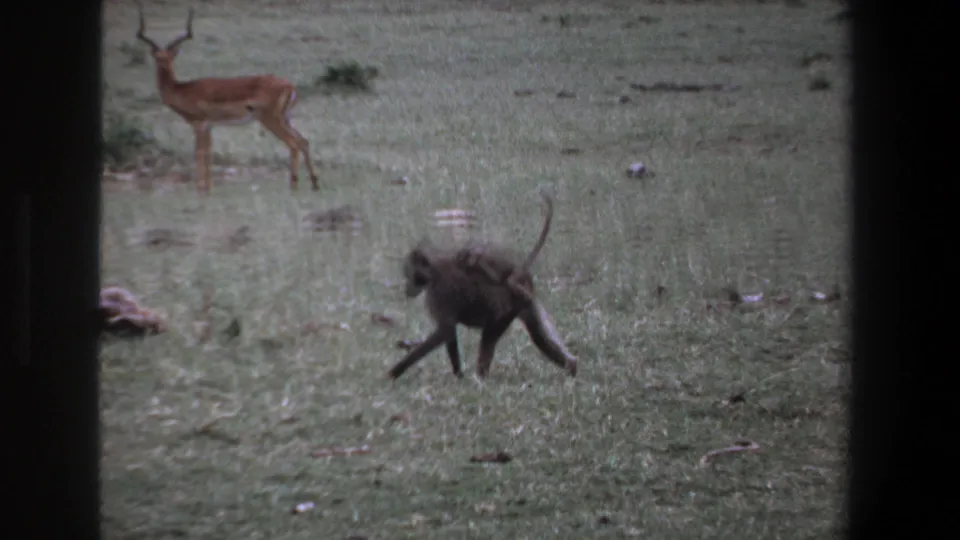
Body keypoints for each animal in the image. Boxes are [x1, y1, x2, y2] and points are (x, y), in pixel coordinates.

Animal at [387, 192, 578, 380]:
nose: (408, 290)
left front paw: (397, 370)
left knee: (489, 338)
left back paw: (481, 378)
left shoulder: (439, 293)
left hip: (504, 312)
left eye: (411, 275)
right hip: (521, 303)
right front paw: (458, 375)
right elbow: (449, 333)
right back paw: (572, 367)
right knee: (538, 336)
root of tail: (520, 276)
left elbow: (445, 330)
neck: (434, 269)